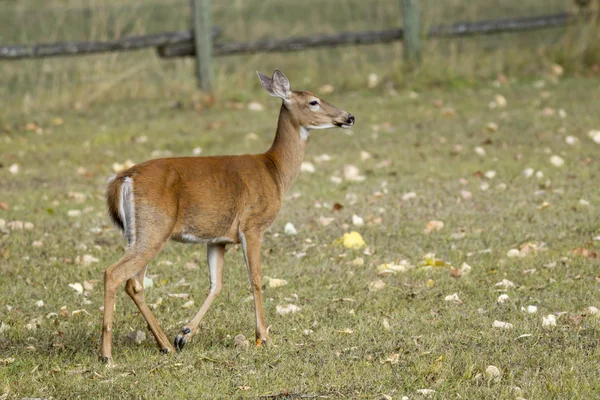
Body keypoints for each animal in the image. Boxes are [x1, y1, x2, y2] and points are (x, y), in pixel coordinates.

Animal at [100, 70, 354, 364]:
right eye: (313, 101)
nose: (349, 117)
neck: (275, 172)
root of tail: (123, 179)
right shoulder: (252, 225)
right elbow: (256, 279)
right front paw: (262, 337)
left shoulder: (218, 239)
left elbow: (216, 284)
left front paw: (184, 334)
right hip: (154, 228)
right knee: (114, 273)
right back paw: (107, 356)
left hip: (139, 233)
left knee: (134, 283)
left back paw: (164, 345)